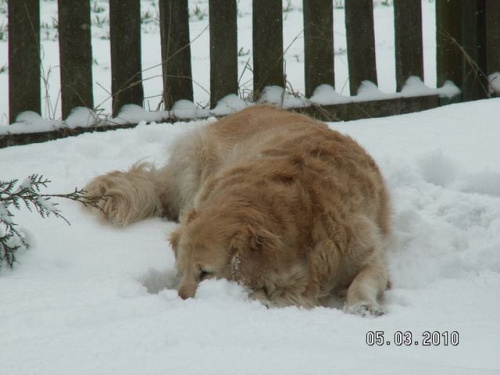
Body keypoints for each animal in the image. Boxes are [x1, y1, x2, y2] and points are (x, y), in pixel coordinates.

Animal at [85, 106, 390, 318]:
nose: (181, 303)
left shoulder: (366, 252)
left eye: (205, 273)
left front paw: (363, 305)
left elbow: (363, 279)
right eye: (180, 272)